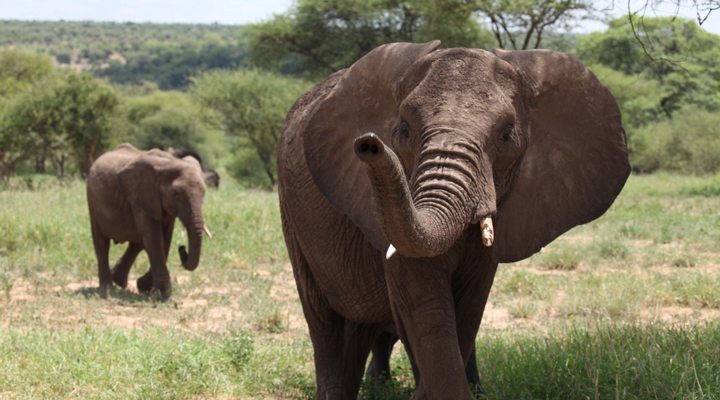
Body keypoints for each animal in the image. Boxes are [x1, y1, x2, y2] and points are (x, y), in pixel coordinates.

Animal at [87, 144, 210, 300]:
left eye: (204, 193)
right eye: (176, 194)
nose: (182, 248)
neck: (170, 162)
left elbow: (164, 239)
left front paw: (145, 288)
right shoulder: (141, 197)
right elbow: (154, 239)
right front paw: (161, 295)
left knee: (137, 243)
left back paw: (119, 281)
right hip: (92, 200)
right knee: (101, 242)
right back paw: (108, 290)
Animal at [278, 41, 632, 400]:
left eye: (506, 136)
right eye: (404, 131)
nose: (369, 144)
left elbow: (469, 308)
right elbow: (427, 309)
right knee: (324, 323)